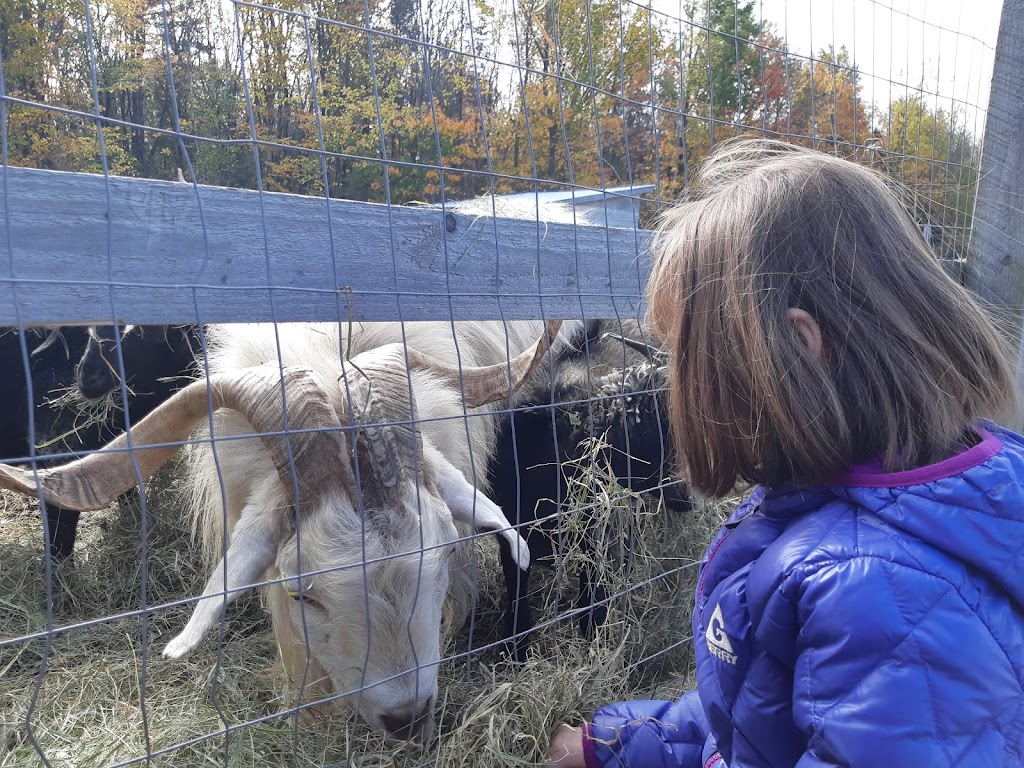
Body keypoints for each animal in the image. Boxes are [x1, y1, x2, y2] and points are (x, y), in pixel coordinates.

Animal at [485, 319, 688, 663]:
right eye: (657, 431)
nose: (685, 495)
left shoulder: (600, 538)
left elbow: (593, 599)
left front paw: (593, 646)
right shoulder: (511, 533)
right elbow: (516, 592)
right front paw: (516, 651)